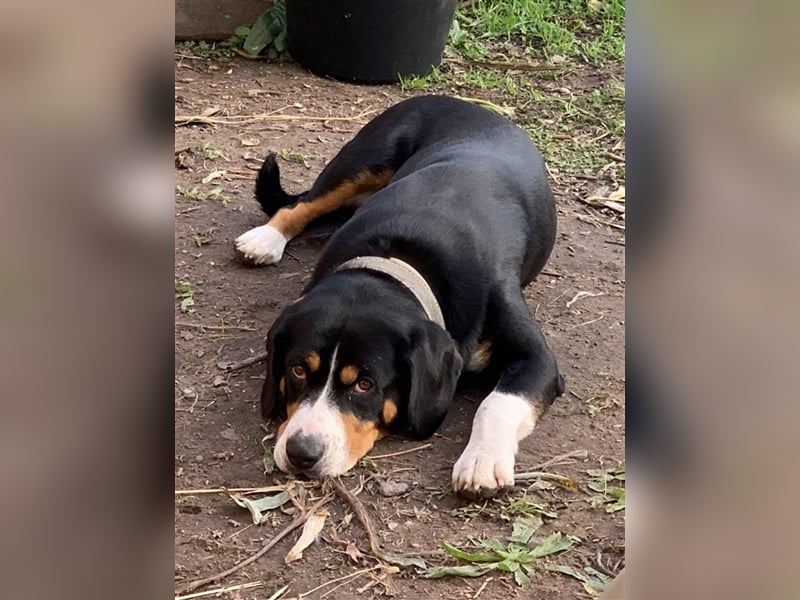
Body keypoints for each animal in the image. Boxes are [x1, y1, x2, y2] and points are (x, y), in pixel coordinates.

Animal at [234, 96, 564, 494]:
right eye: (297, 369)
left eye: (365, 384)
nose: (302, 453)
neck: (400, 256)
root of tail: (465, 103)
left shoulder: (537, 359)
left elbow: (498, 402)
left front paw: (481, 460)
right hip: (362, 161)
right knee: (301, 204)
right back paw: (264, 239)